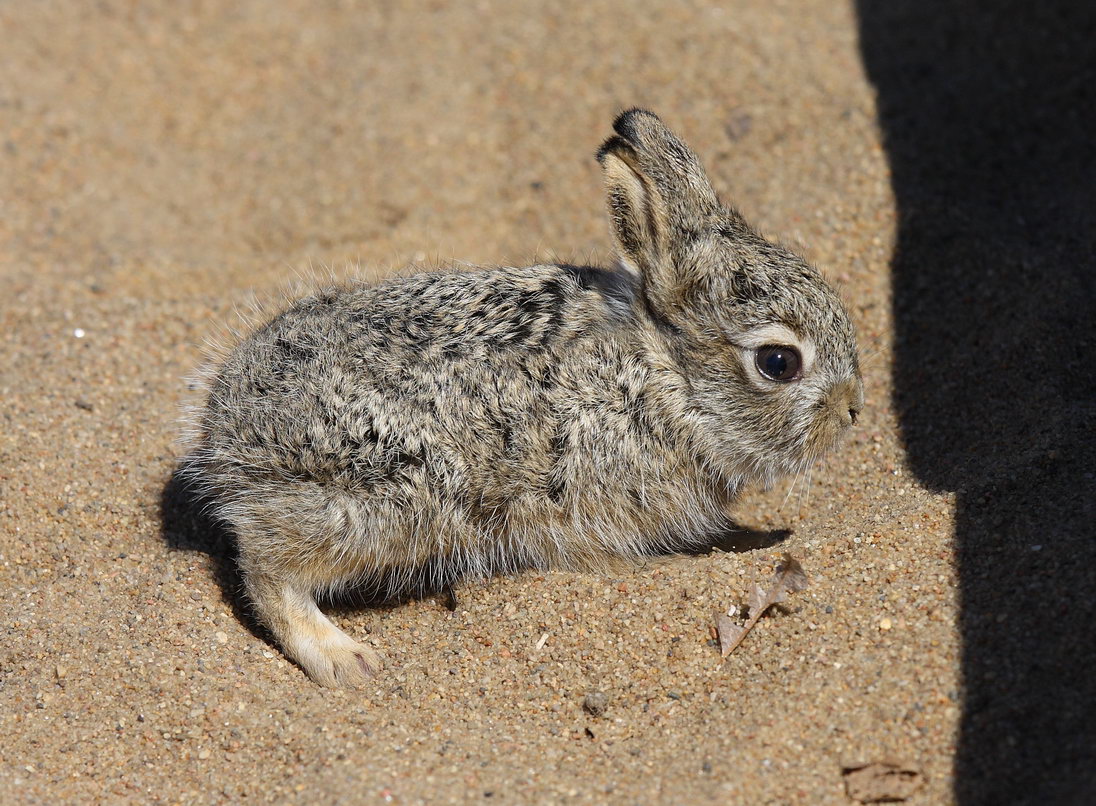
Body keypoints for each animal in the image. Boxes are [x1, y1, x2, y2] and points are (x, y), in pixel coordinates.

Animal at [179, 107, 863, 688]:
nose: (852, 409)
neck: (666, 379)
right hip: (387, 498)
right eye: (778, 362)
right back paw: (346, 659)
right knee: (268, 571)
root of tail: (224, 431)